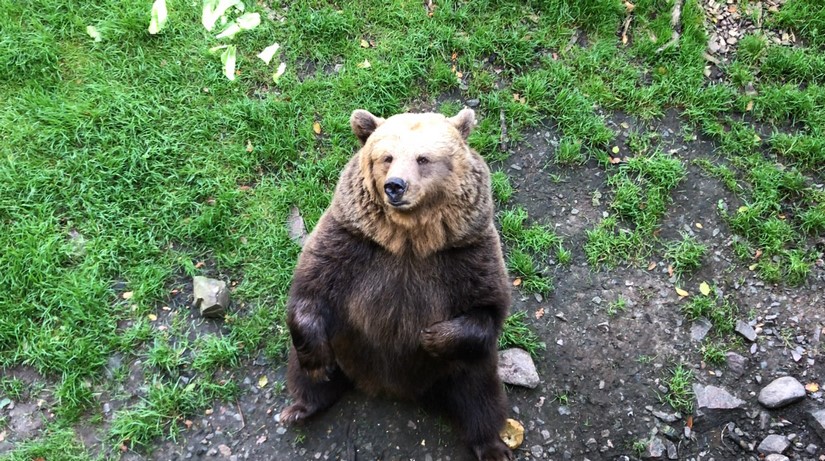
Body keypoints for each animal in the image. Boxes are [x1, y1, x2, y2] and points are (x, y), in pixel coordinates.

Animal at [280, 108, 512, 461]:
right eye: (386, 157)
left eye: (423, 158)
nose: (395, 187)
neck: (408, 239)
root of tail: (385, 384)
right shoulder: (351, 241)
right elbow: (312, 289)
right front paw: (318, 367)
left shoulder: (466, 252)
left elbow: (487, 308)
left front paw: (431, 336)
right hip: (343, 341)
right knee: (300, 366)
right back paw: (301, 407)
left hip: (458, 368)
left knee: (479, 393)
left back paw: (491, 446)